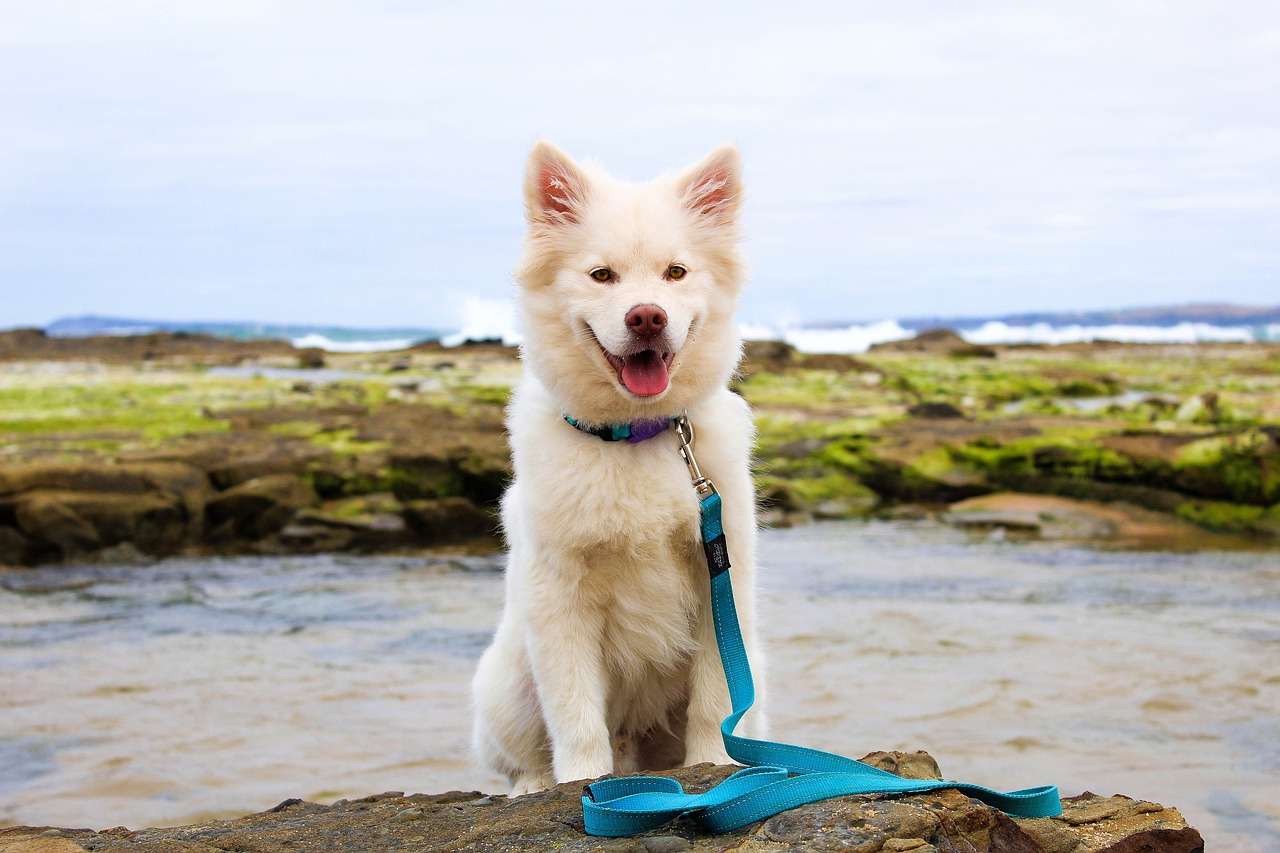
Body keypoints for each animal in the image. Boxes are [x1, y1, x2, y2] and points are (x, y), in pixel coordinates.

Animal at [476, 137, 762, 788]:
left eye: (676, 272)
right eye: (601, 275)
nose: (646, 316)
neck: (636, 436)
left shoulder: (719, 576)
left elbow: (715, 697)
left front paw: (713, 764)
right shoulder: (558, 595)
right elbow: (574, 710)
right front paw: (584, 784)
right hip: (505, 687)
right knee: (522, 757)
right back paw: (536, 784)